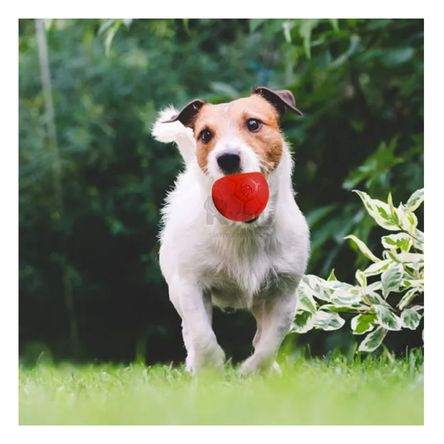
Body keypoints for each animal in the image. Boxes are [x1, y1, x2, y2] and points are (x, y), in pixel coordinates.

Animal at [152, 86, 308, 374]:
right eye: (205, 134)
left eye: (254, 124)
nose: (227, 158)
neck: (244, 230)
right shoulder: (191, 287)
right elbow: (202, 335)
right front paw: (211, 366)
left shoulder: (284, 293)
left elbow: (270, 342)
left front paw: (253, 369)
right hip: (176, 289)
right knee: (189, 330)